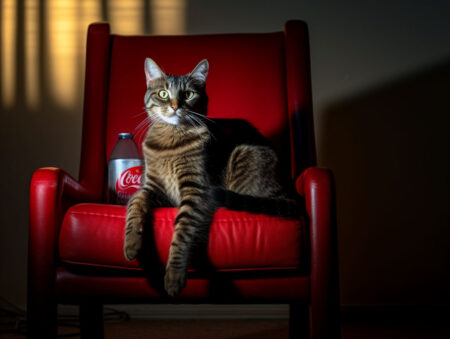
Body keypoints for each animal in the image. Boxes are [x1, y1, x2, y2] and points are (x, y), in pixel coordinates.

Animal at [123, 58, 298, 298]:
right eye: (163, 94)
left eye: (188, 94)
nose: (175, 106)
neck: (169, 143)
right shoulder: (152, 187)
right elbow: (135, 202)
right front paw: (131, 243)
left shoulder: (195, 189)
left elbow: (182, 229)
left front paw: (174, 276)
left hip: (244, 155)